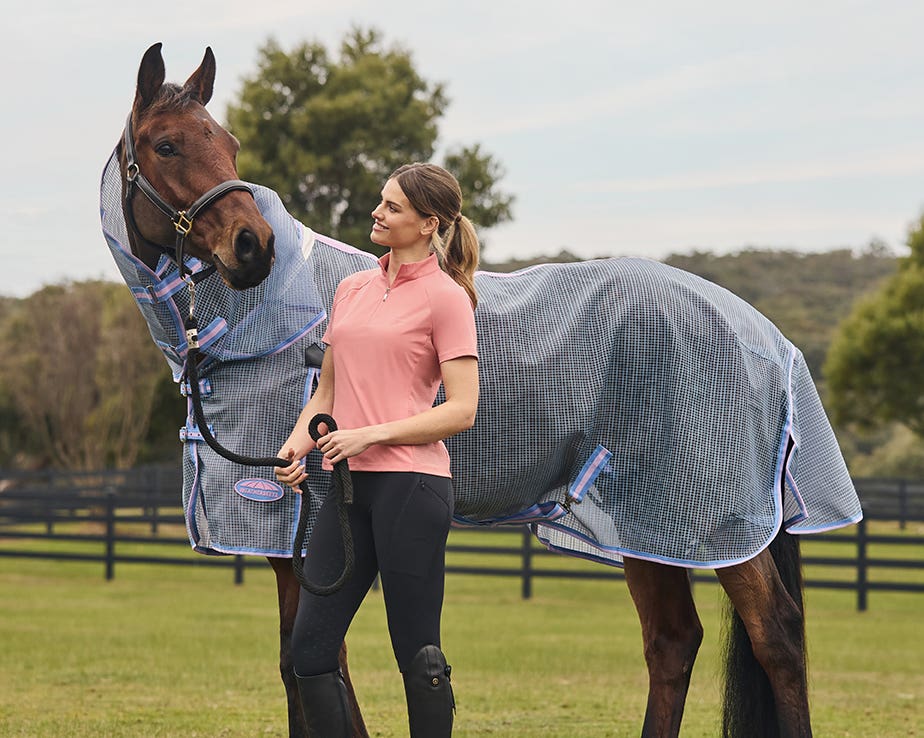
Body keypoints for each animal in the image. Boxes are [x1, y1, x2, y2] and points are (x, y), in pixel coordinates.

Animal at [103, 43, 868, 732]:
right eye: (168, 145)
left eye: (228, 145)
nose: (251, 247)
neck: (268, 329)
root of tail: (769, 338)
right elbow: (304, 669)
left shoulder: (301, 540)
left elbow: (313, 669)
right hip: (653, 522)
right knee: (673, 642)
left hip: (717, 519)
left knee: (776, 637)